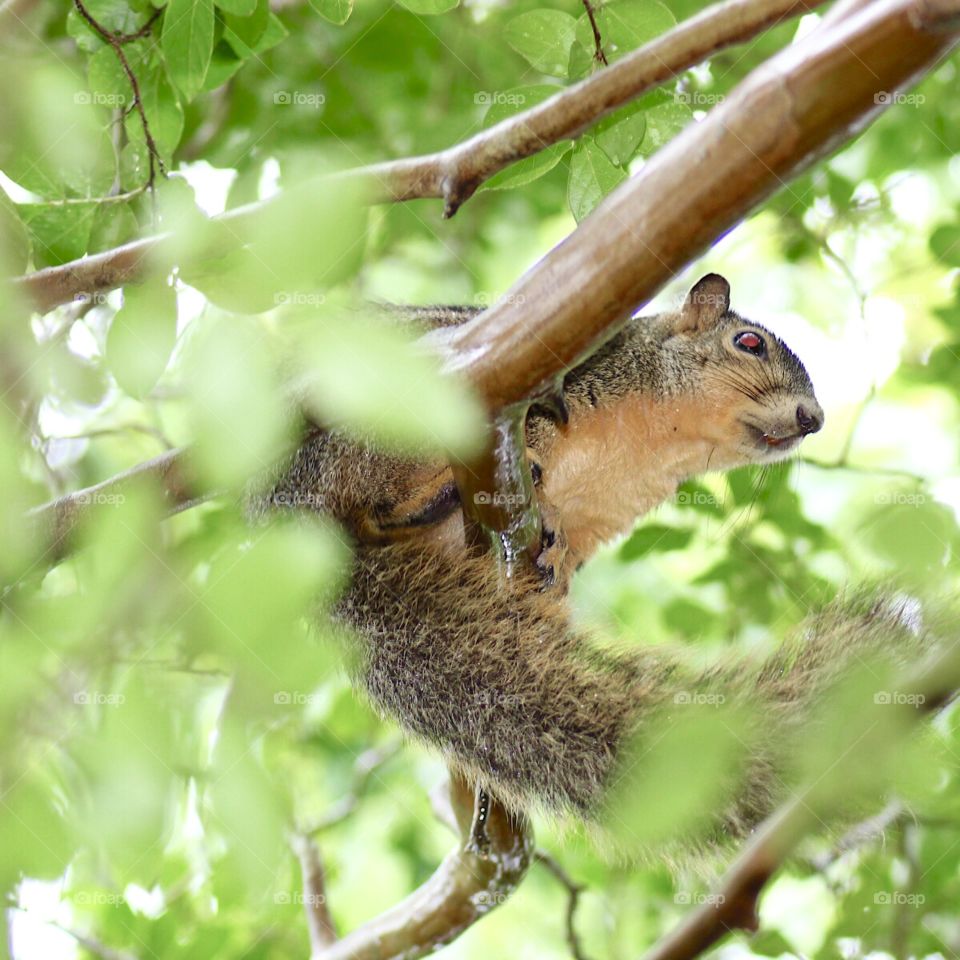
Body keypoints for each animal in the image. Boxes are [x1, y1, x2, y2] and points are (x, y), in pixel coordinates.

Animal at [251, 274, 936, 842]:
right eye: (749, 342)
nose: (812, 418)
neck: (656, 444)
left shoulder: (598, 521)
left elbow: (569, 554)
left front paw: (551, 583)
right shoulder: (564, 381)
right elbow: (534, 426)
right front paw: (529, 460)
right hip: (370, 417)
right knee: (377, 498)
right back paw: (428, 496)